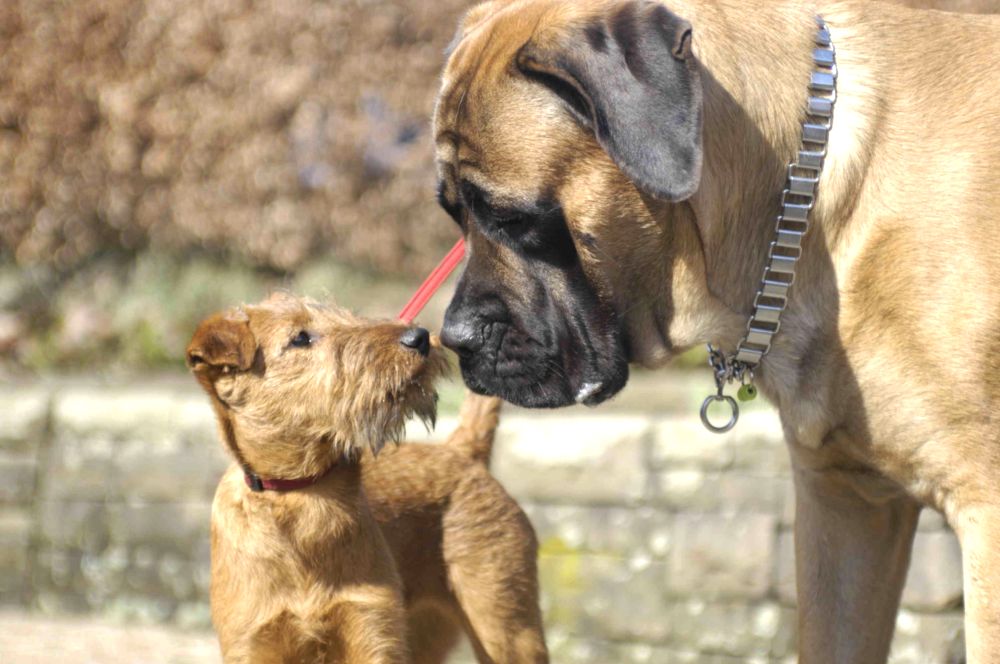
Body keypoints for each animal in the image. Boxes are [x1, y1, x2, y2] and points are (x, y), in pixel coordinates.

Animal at [188, 296, 548, 664]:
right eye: (300, 338)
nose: (419, 337)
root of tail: (461, 450)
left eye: (347, 317)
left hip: (506, 628)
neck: (301, 494)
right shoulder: (254, 643)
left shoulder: (372, 628)